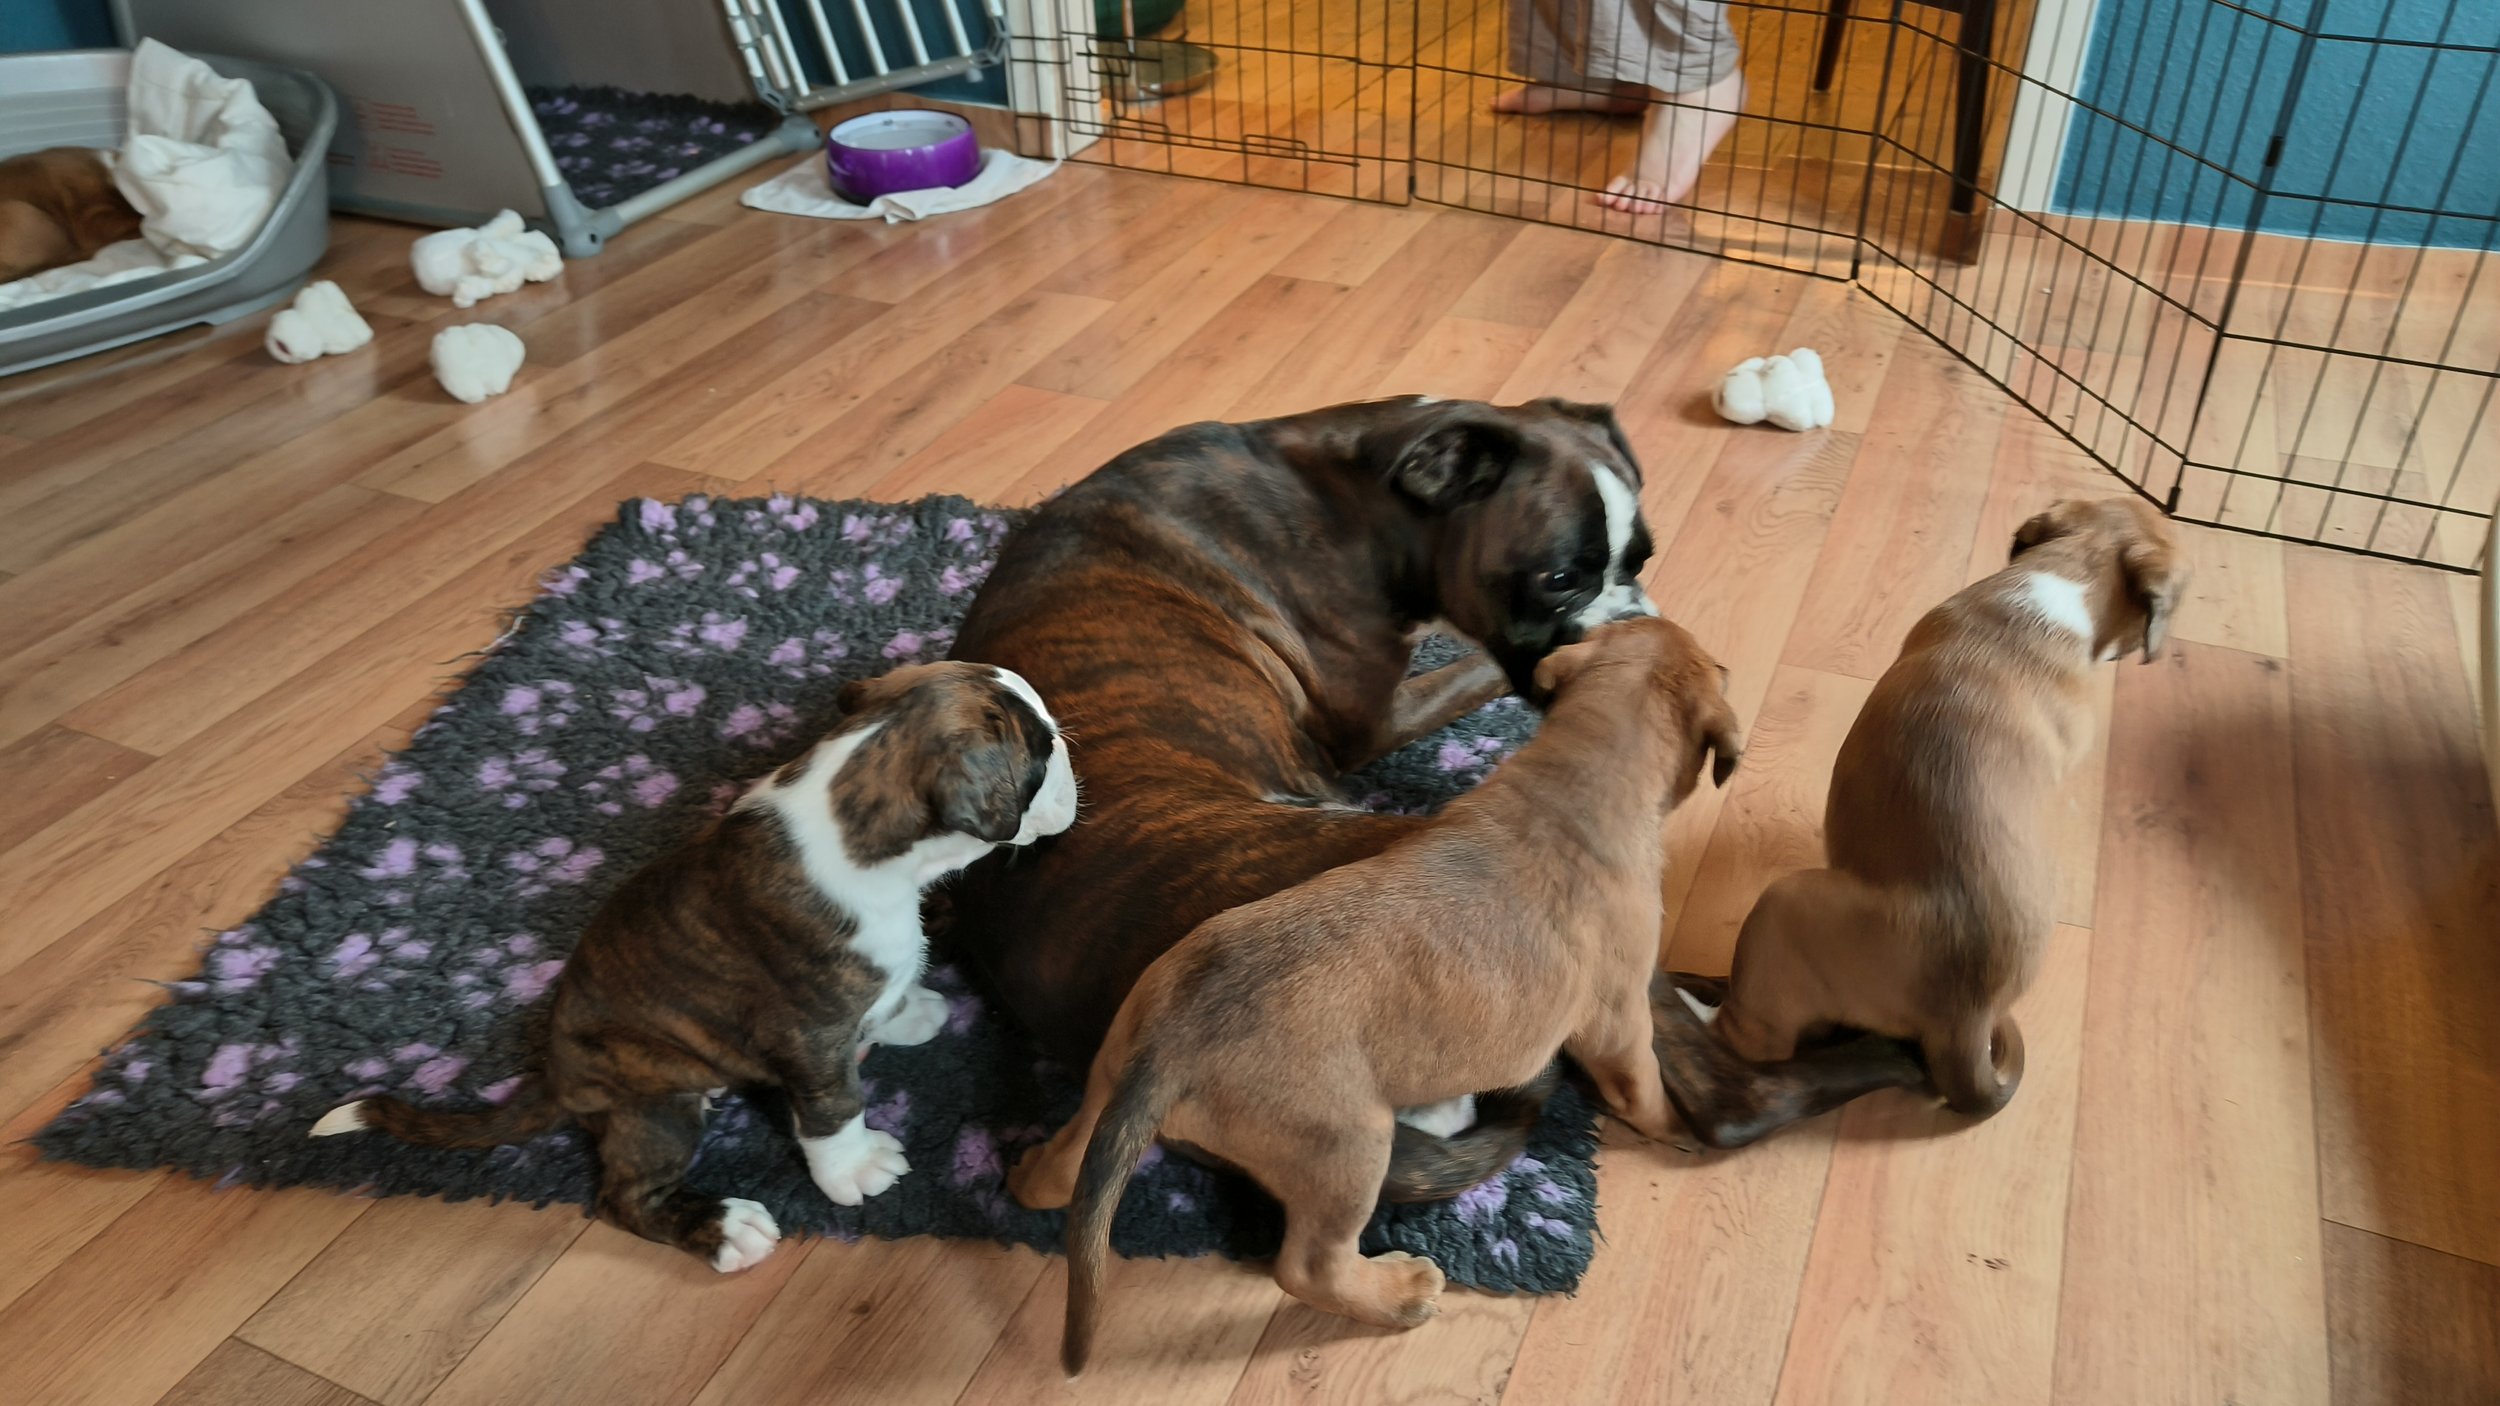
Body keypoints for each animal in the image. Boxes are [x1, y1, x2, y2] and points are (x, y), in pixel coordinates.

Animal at [310, 661, 1078, 1270]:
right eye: (1040, 757)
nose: (1072, 751)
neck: (855, 802)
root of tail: (558, 1074)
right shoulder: (806, 1036)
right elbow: (833, 1108)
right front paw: (854, 1167)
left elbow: (884, 997)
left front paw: (906, 1011)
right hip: (656, 1109)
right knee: (624, 1197)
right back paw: (724, 1230)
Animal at [1006, 616, 1739, 1370]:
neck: (1576, 774)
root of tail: (1167, 1055)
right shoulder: (1619, 1016)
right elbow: (1642, 1083)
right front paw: (1676, 1128)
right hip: (1347, 1148)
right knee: (1309, 1267)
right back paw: (1400, 1294)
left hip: (1114, 1066)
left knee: (1066, 1167)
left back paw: (1031, 1169)